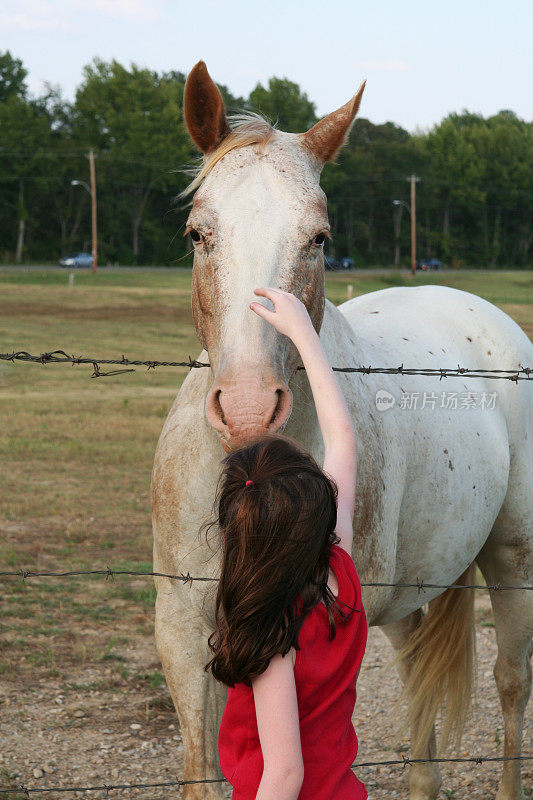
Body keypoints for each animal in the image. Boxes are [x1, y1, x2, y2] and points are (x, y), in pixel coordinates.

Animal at [151, 62, 532, 800]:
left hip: (512, 560)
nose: (248, 408)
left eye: (318, 238)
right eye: (197, 233)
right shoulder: (182, 630)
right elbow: (201, 771)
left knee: (510, 683)